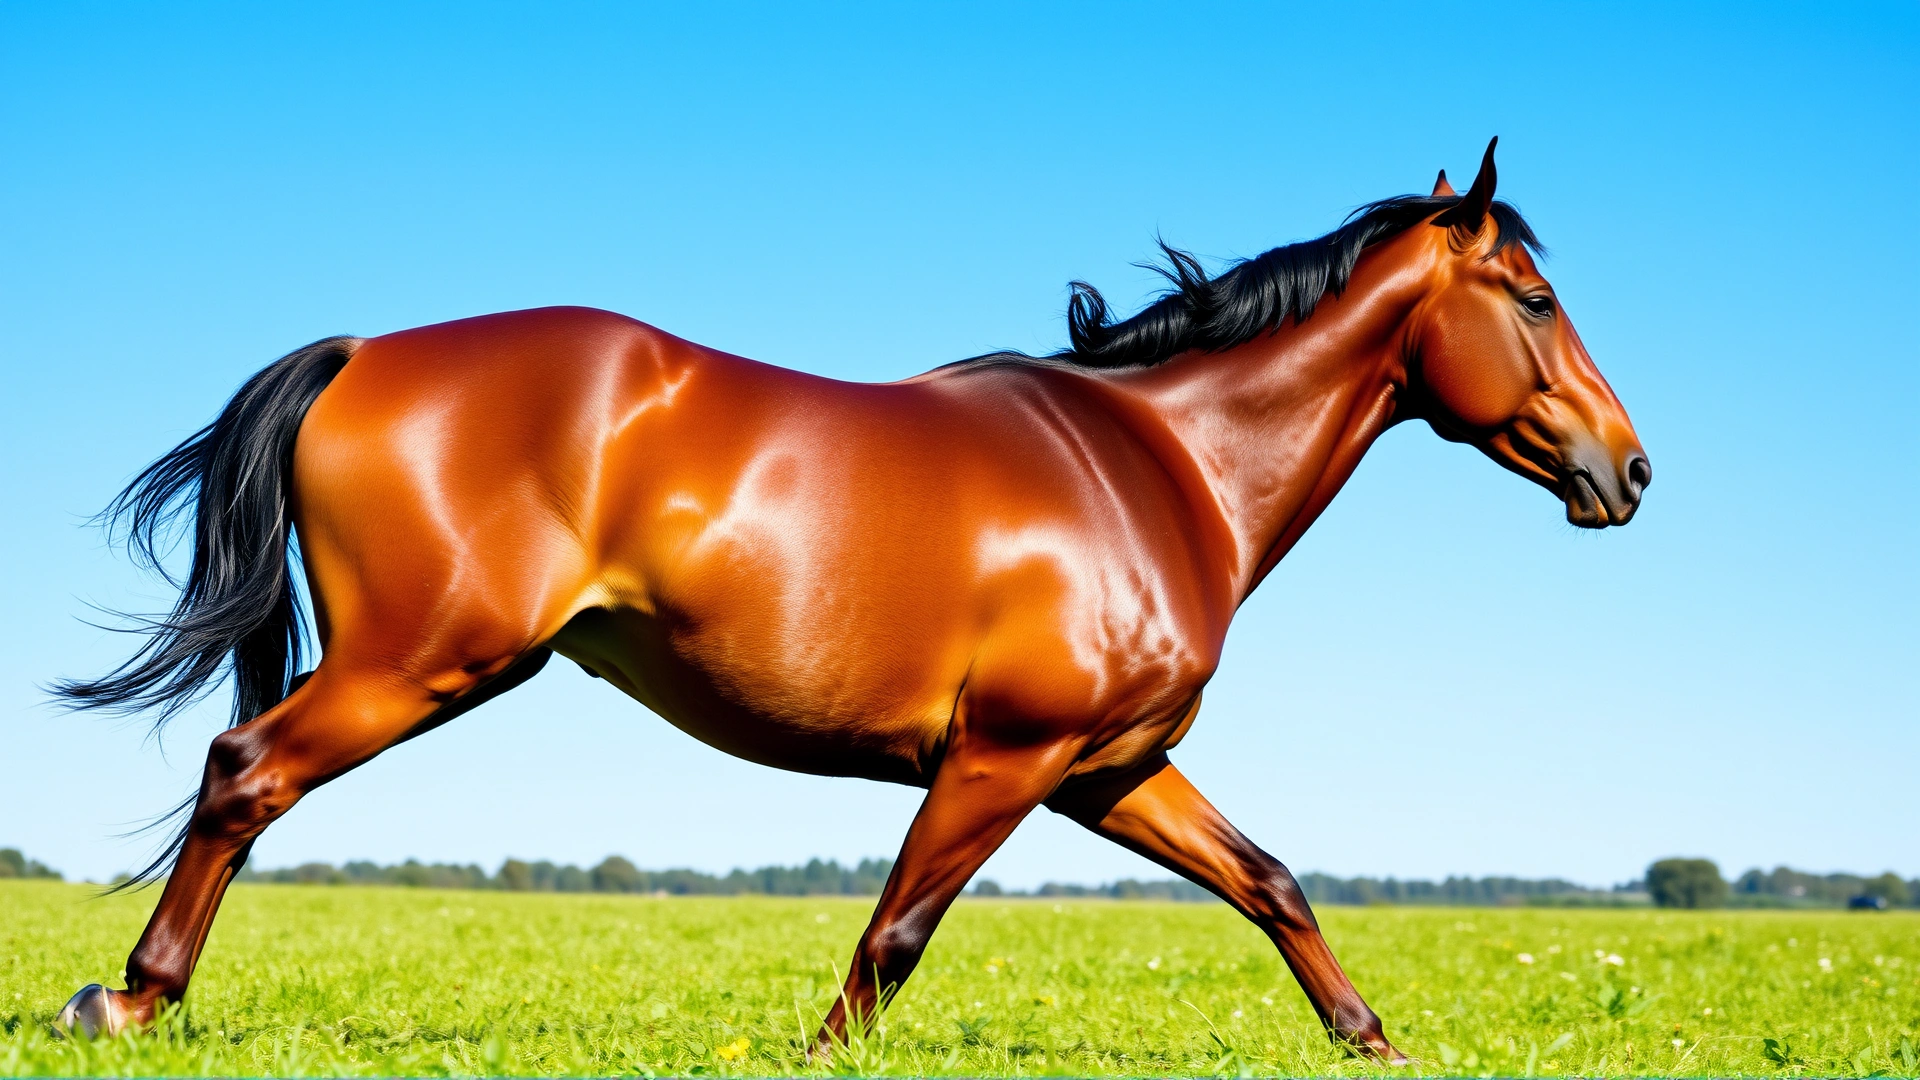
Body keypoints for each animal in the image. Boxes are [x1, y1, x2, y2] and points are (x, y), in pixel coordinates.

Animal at [55, 139, 1648, 1063]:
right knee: (244, 774)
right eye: (1535, 299)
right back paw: (123, 997)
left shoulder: (1109, 769)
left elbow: (1271, 881)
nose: (1626, 470)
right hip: (419, 661)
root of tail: (365, 350)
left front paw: (1370, 1040)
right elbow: (893, 937)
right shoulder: (1005, 758)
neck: (1162, 467)